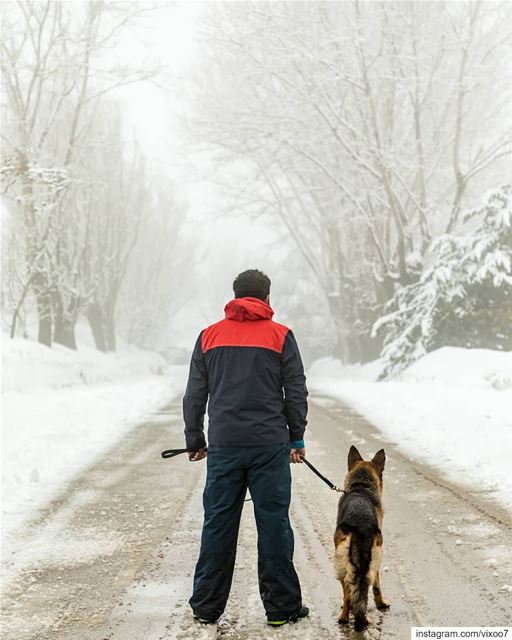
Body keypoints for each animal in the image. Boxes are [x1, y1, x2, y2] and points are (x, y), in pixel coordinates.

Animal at [334, 444, 390, 632]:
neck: (361, 485)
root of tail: (360, 524)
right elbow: (377, 586)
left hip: (341, 563)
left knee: (348, 592)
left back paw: (345, 617)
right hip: (373, 558)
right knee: (366, 587)